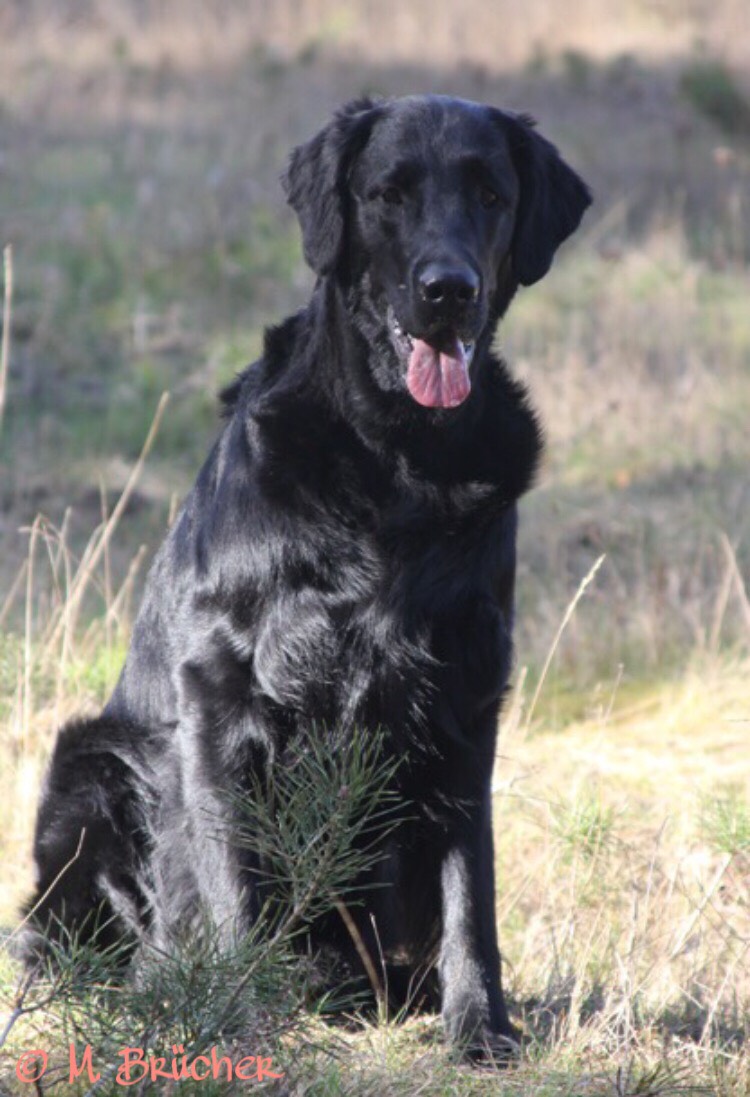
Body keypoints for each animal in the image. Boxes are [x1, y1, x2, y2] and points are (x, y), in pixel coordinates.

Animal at [21, 95, 591, 1057]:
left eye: (491, 193)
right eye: (388, 193)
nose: (449, 290)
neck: (399, 460)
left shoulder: (467, 696)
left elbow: (470, 890)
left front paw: (480, 1028)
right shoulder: (219, 698)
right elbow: (231, 887)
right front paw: (243, 1016)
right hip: (95, 765)